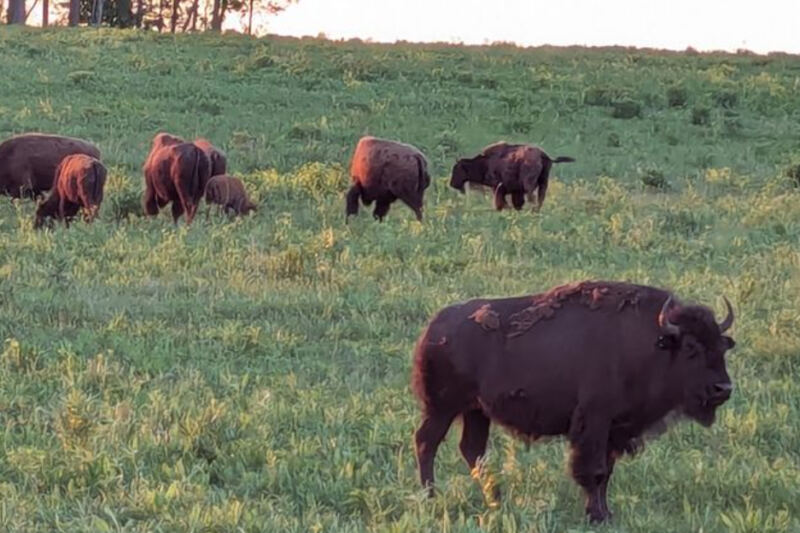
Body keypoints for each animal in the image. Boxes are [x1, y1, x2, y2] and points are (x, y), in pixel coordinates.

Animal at [412, 280, 735, 522]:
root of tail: (433, 329)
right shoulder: (594, 422)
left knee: (472, 450)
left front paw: (606, 513)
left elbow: (606, 472)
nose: (724, 388)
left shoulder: (613, 430)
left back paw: (496, 499)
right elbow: (594, 470)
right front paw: (597, 516)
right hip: (442, 408)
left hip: (476, 411)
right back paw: (431, 497)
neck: (653, 344)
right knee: (427, 442)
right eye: (691, 347)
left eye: (721, 347)